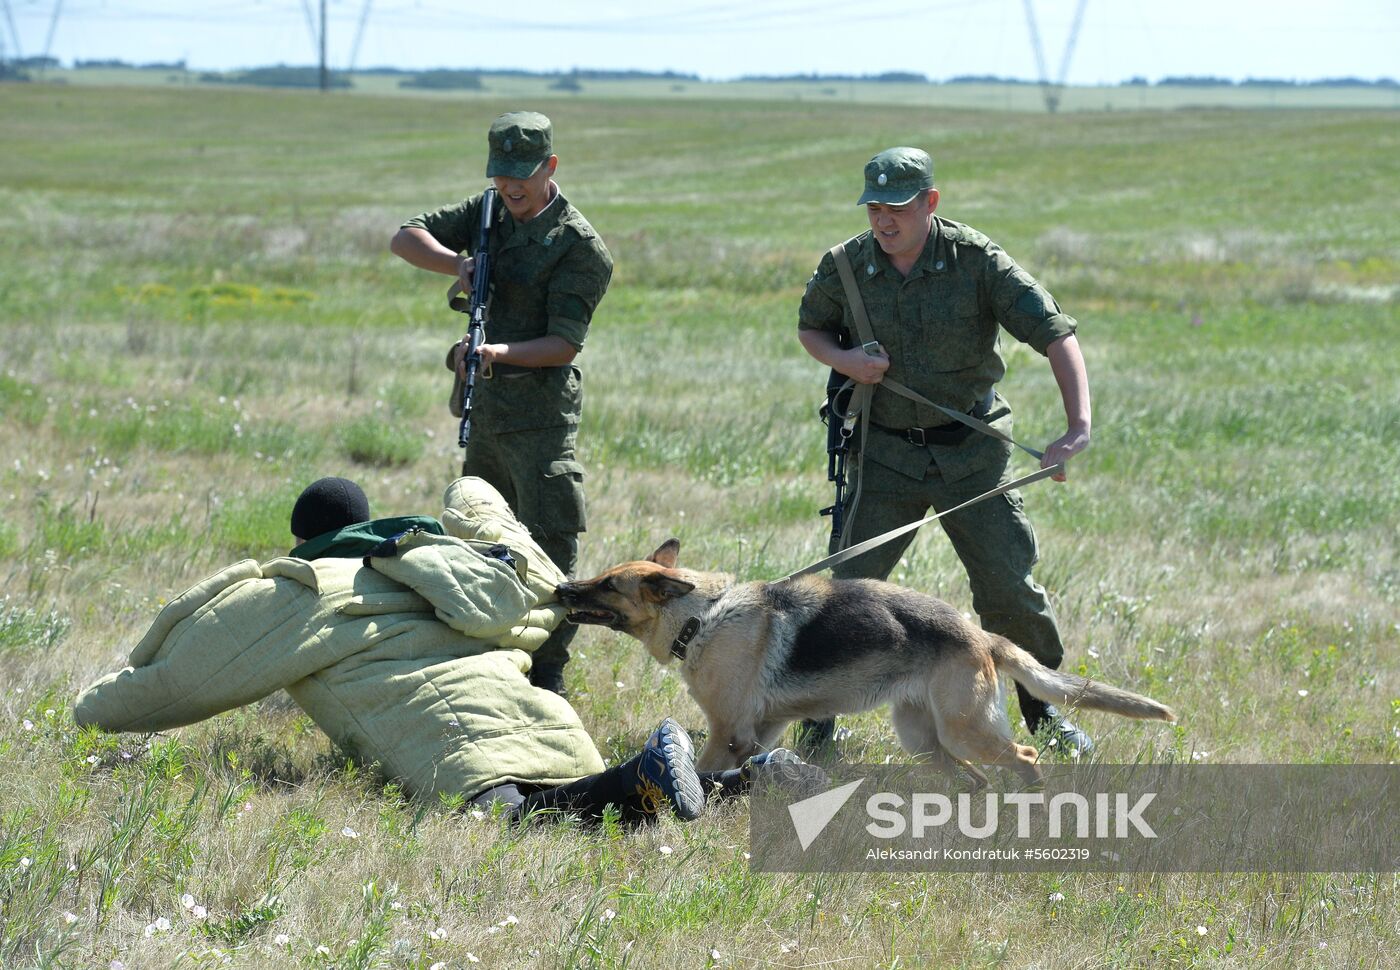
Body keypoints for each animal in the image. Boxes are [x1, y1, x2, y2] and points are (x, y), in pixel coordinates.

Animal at [551, 540, 1176, 783]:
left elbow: (704, 773)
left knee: (1023, 757)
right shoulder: (758, 734)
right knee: (973, 778)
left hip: (965, 730)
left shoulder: (727, 732)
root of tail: (979, 636)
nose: (561, 588)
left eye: (607, 586)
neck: (702, 617)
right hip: (925, 740)